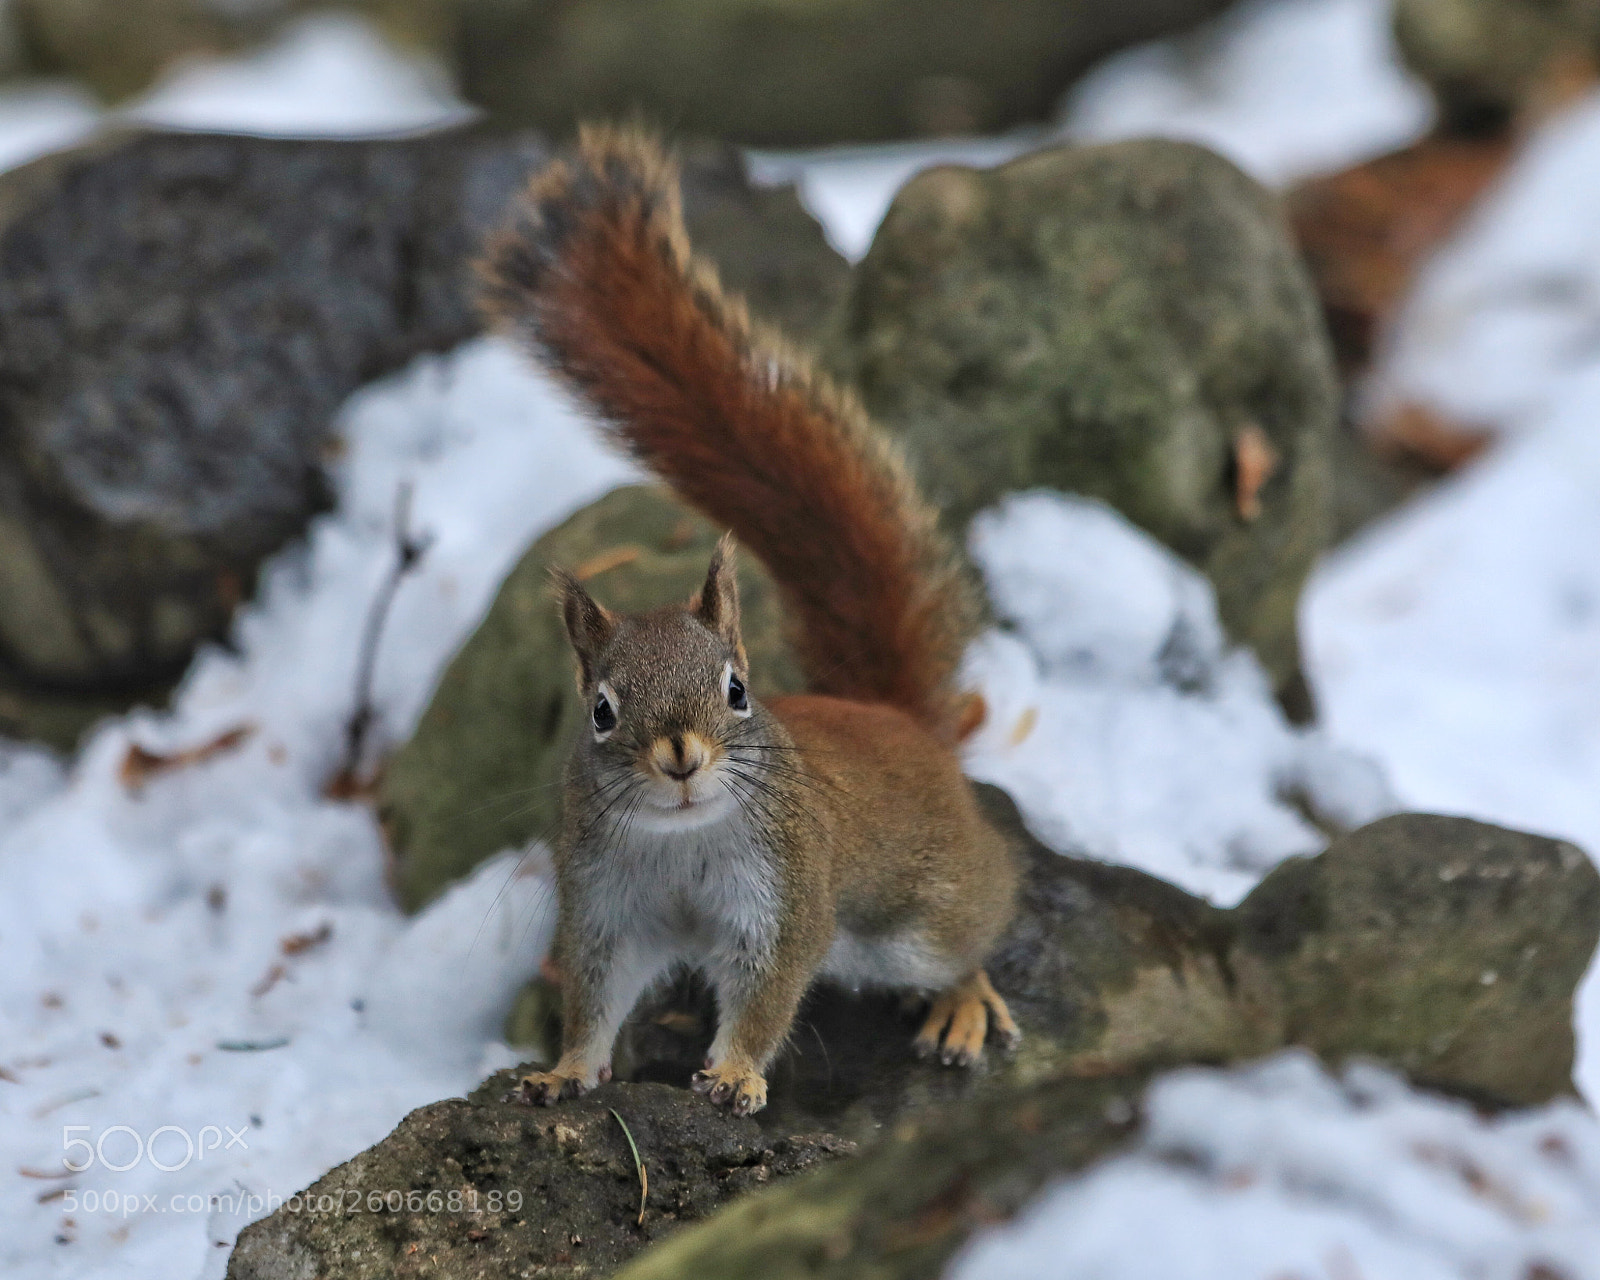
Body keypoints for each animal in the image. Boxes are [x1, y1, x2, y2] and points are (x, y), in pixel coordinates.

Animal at [478, 125, 1020, 1117]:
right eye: (601, 711)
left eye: (736, 689)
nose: (681, 758)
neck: (682, 840)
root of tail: (898, 721)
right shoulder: (606, 907)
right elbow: (595, 996)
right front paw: (566, 1071)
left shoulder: (787, 896)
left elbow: (771, 993)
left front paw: (731, 1074)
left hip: (924, 911)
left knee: (972, 934)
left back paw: (961, 1003)